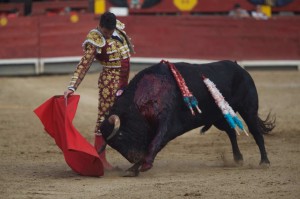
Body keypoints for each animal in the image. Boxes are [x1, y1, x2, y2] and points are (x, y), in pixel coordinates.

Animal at [99, 59, 276, 176]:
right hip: (218, 117)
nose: (133, 157)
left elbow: (155, 143)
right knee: (231, 131)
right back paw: (238, 158)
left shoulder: (167, 124)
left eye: (120, 136)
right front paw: (134, 168)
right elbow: (152, 144)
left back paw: (265, 162)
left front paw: (142, 165)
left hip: (248, 109)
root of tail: (240, 68)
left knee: (256, 133)